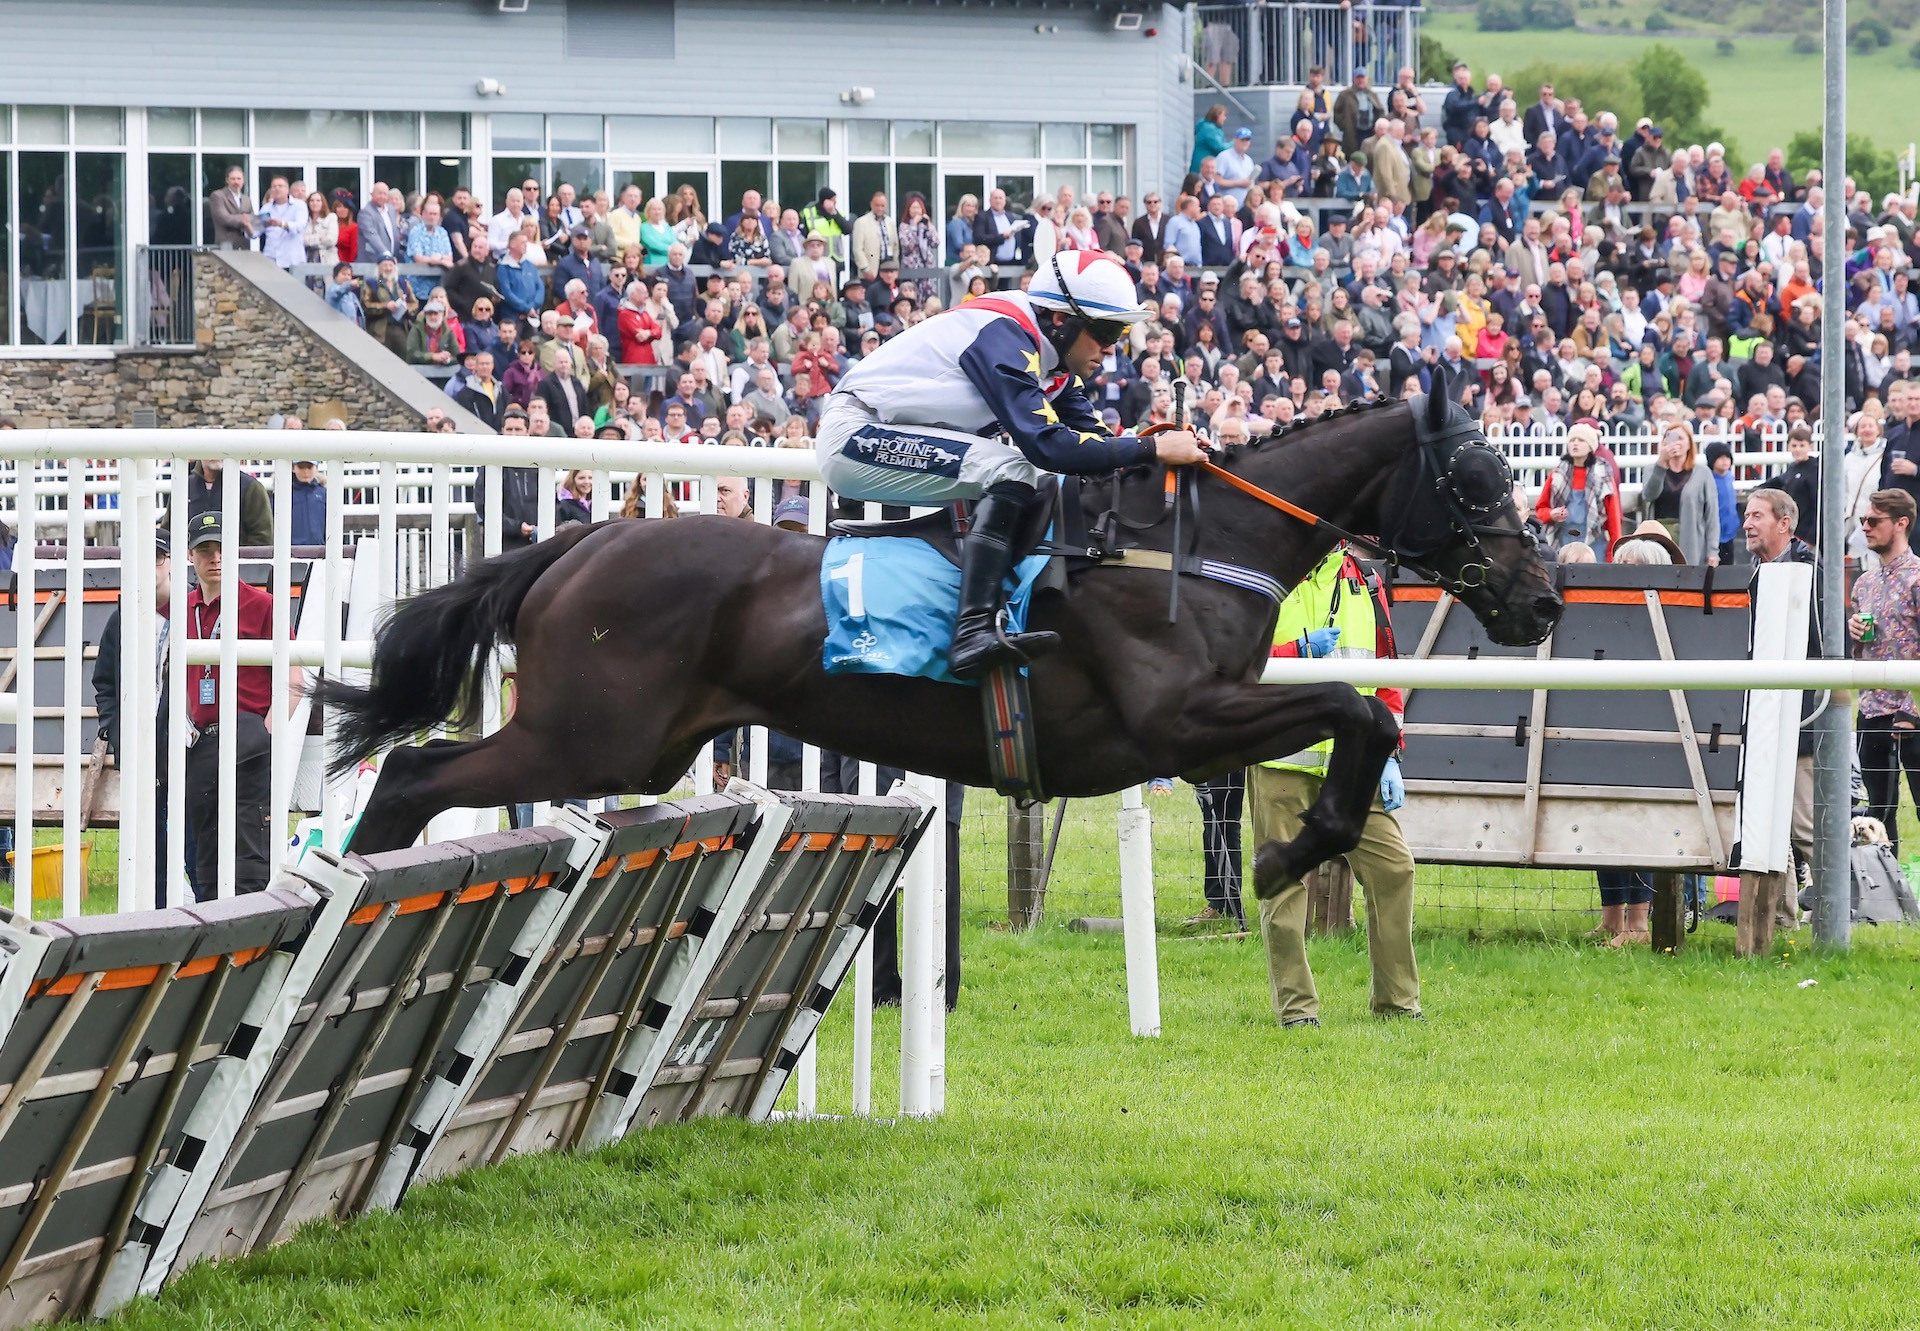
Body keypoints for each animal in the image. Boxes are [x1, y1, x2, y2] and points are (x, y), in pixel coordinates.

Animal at [322, 389, 1566, 898]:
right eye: (1476, 477)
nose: (1543, 598)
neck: (1192, 543)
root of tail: (580, 542)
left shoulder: (1204, 724)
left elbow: (1362, 719)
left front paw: (1295, 847)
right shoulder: (1175, 721)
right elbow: (1354, 711)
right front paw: (1293, 851)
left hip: (642, 748)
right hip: (589, 735)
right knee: (417, 770)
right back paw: (357, 876)